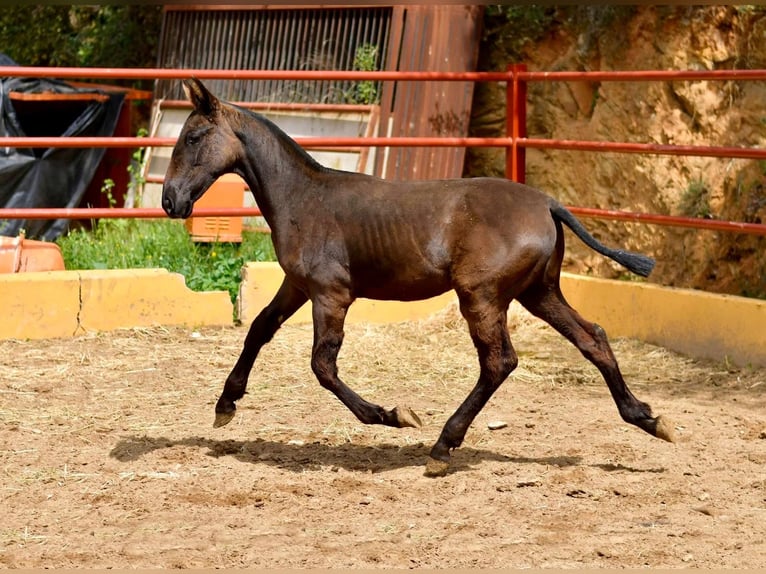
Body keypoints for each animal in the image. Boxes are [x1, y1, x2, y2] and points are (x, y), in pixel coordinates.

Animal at [162, 78, 675, 477]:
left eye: (194, 137)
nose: (170, 201)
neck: (303, 197)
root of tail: (548, 204)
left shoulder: (331, 295)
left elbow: (323, 366)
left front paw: (393, 415)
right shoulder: (297, 287)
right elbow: (259, 329)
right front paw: (225, 405)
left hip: (481, 296)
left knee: (499, 362)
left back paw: (442, 447)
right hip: (538, 293)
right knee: (593, 338)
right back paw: (649, 419)